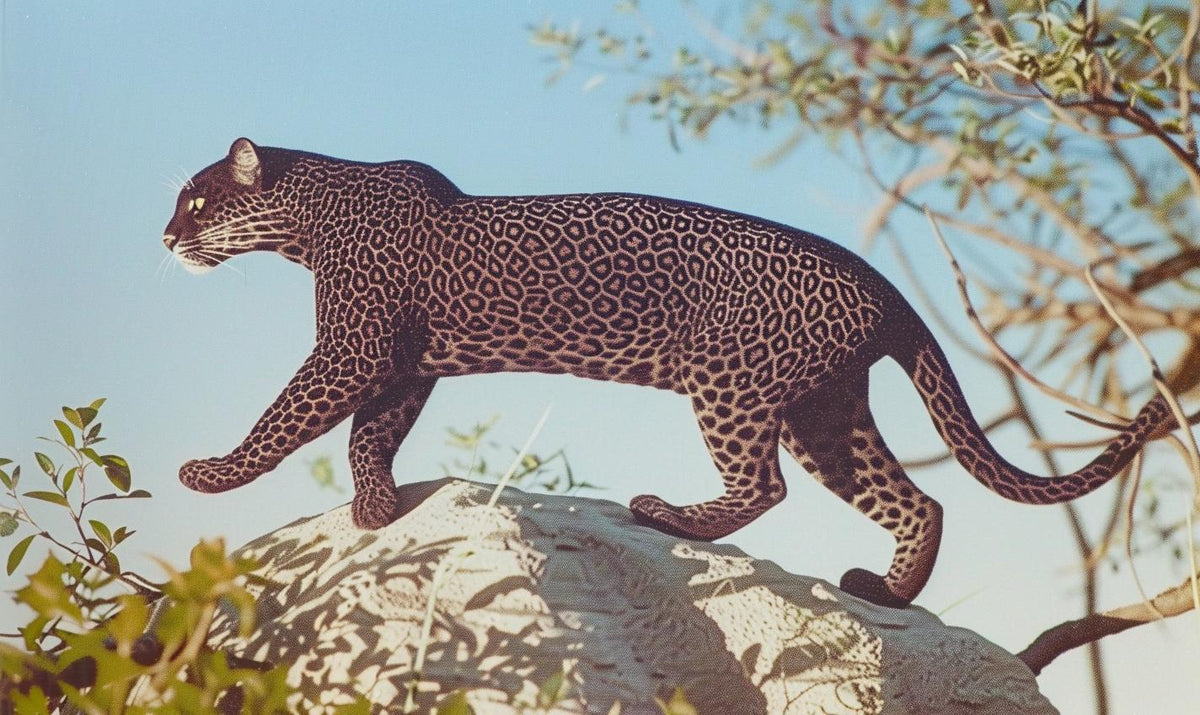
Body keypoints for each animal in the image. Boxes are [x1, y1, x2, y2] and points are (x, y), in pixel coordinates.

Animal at [162, 138, 1175, 607]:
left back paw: (665, 515)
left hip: (733, 382)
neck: (310, 221)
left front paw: (210, 473)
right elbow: (370, 432)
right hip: (826, 407)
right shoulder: (405, 361)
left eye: (198, 200)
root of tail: (881, 286)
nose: (167, 237)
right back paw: (886, 591)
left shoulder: (355, 347)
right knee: (914, 499)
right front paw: (376, 503)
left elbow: (288, 413)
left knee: (764, 484)